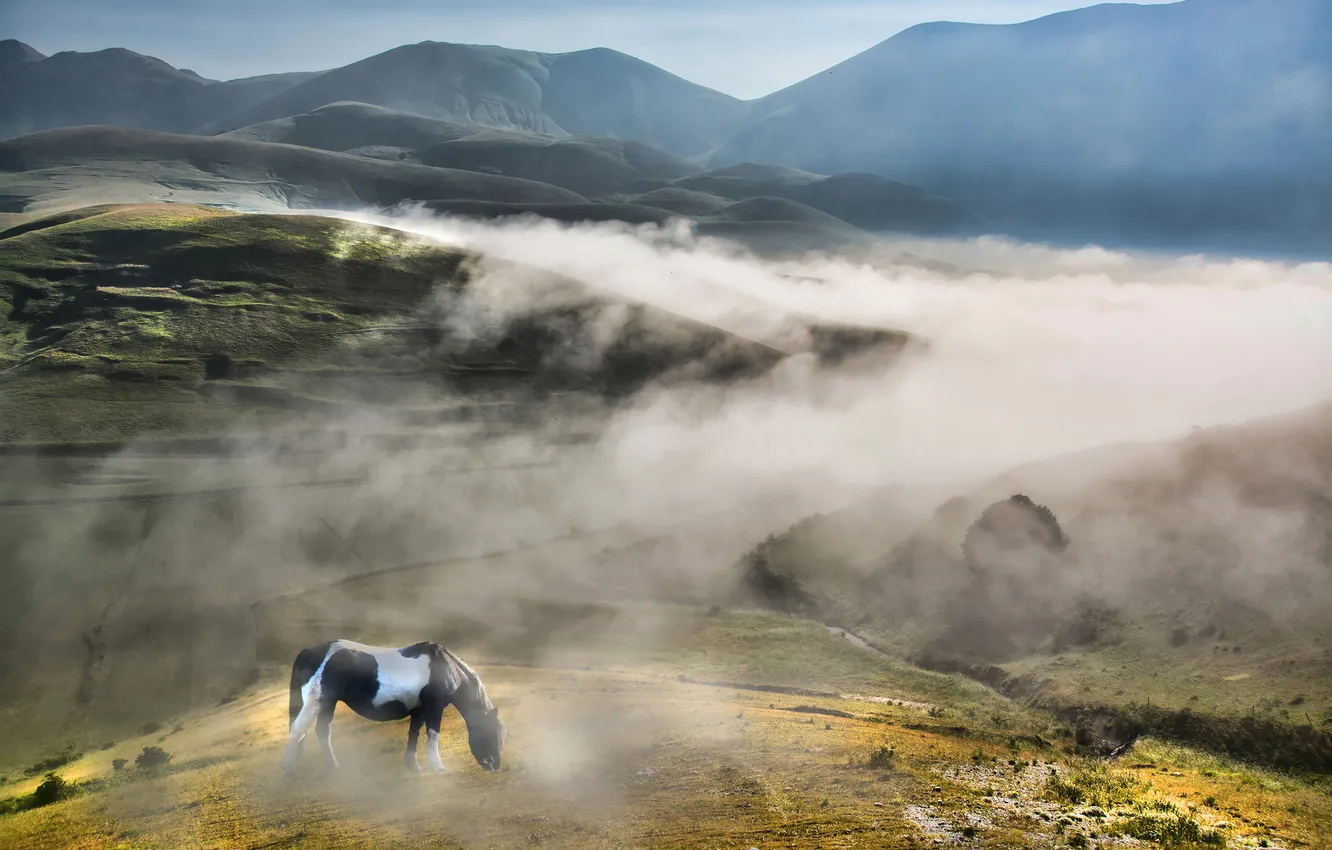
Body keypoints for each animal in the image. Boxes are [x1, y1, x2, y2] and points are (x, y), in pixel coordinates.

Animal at [283, 639, 506, 776]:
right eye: (492, 733)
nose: (494, 765)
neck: (445, 668)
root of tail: (308, 652)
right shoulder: (434, 708)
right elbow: (433, 734)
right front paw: (438, 767)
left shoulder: (419, 710)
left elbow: (414, 734)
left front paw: (413, 766)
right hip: (315, 703)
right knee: (297, 731)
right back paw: (288, 771)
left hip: (328, 703)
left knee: (322, 731)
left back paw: (333, 766)